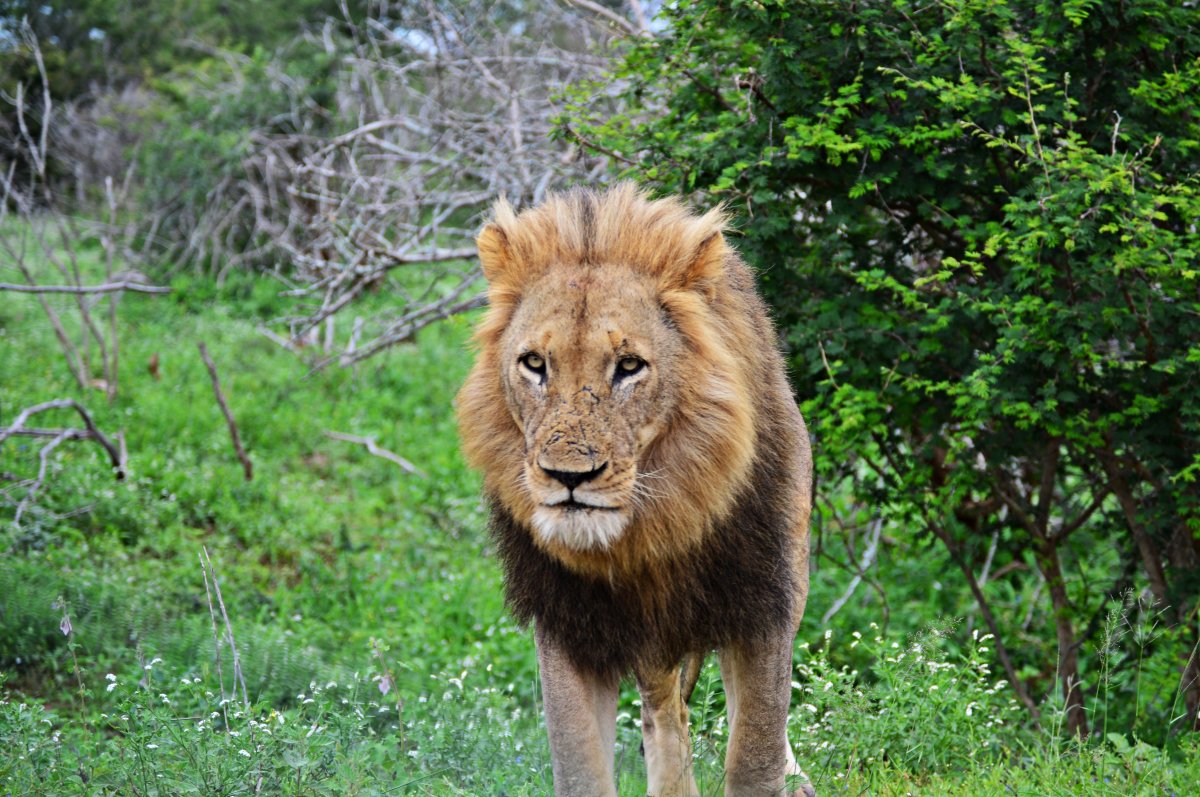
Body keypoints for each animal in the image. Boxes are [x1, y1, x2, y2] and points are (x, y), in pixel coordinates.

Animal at [458, 184, 816, 797]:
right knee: (664, 712)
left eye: (628, 366)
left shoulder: (763, 602)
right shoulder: (567, 625)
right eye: (534, 364)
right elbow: (581, 769)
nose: (568, 477)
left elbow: (756, 753)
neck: (645, 536)